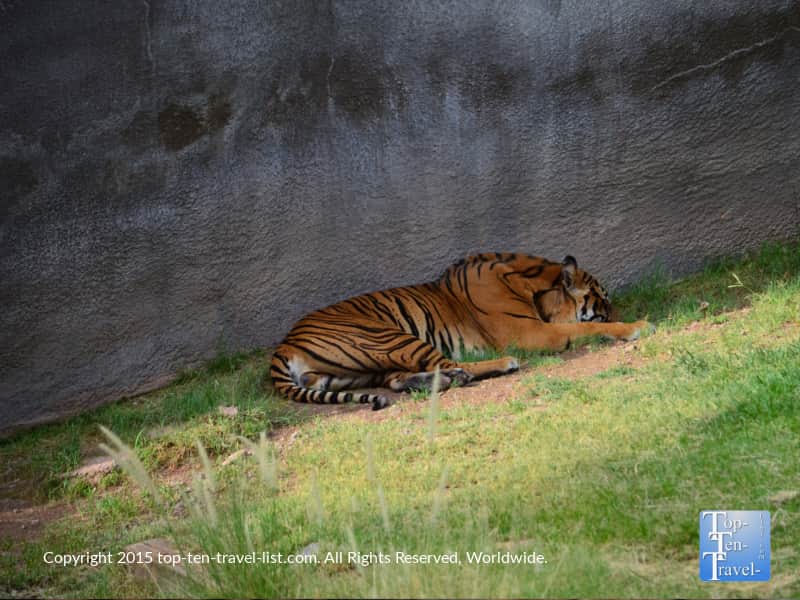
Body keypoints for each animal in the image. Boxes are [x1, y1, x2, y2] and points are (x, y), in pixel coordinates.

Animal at [269, 253, 651, 410]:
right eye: (604, 299)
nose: (624, 308)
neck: (534, 288)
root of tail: (285, 346)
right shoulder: (529, 333)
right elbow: (585, 328)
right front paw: (638, 325)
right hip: (385, 335)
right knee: (450, 365)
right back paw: (500, 365)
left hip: (351, 372)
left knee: (398, 380)